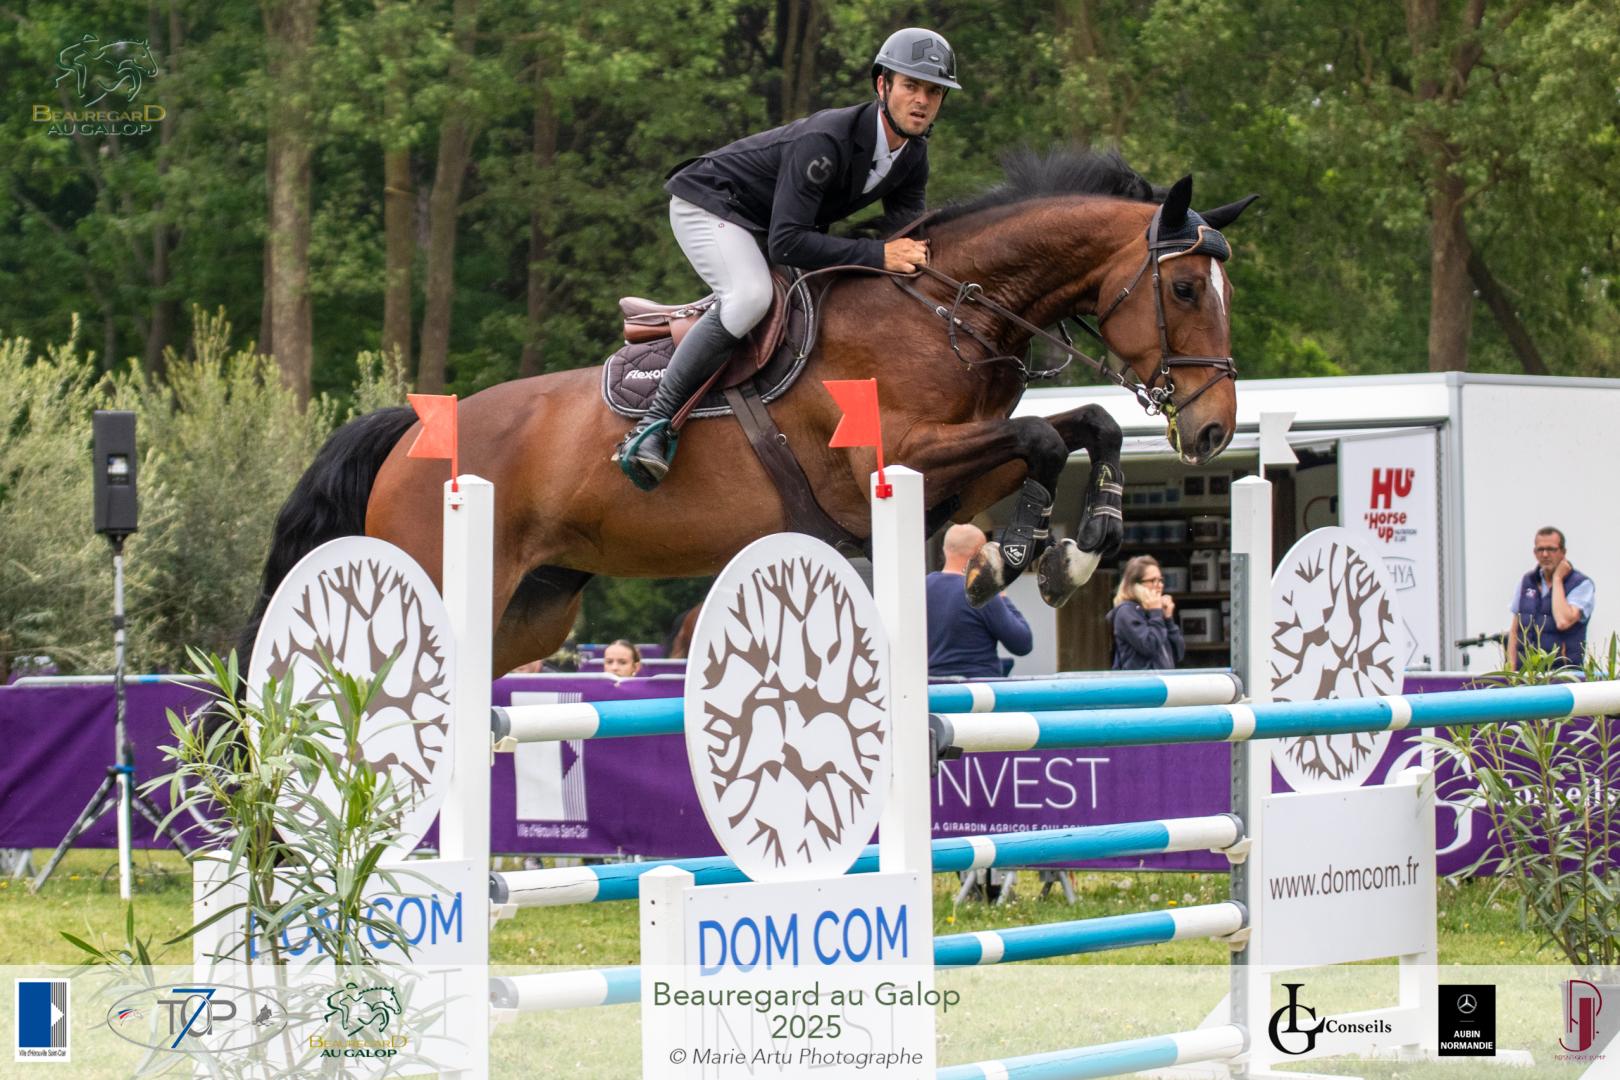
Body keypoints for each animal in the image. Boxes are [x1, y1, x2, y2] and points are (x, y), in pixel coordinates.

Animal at [249, 149, 1255, 676]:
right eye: (1181, 288)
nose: (1211, 428)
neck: (943, 310)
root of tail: (413, 430)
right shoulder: (896, 459)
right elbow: (1048, 432)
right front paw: (1010, 561)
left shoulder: (957, 478)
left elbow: (1085, 428)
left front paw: (1077, 549)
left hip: (534, 613)